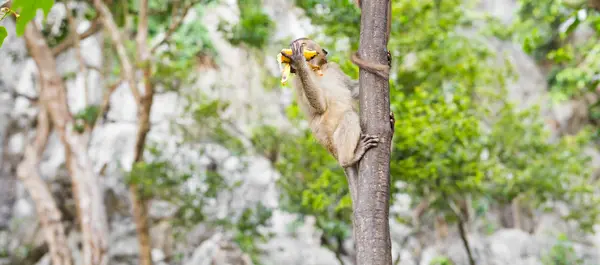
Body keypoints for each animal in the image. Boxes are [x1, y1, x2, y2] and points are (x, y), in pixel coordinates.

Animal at [280, 37, 394, 200]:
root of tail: (335, 153)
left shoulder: (334, 67)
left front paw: (388, 61)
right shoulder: (297, 81)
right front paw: (299, 62)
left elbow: (353, 90)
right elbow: (320, 107)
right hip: (331, 139)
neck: (317, 69)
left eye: (304, 43)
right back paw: (348, 160)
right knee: (348, 116)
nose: (295, 47)